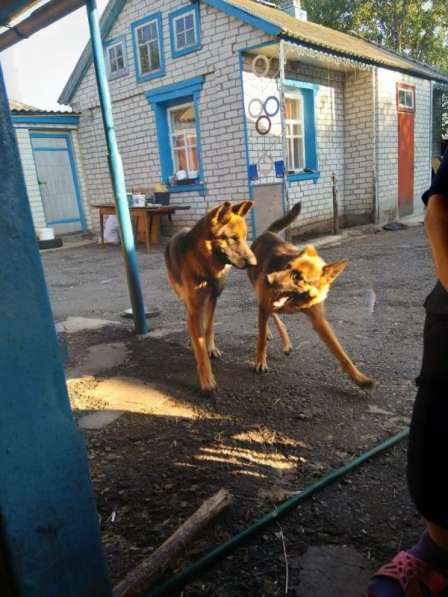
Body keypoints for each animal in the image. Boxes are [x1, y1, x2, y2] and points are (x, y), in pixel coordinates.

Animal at [164, 200, 256, 394]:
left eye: (245, 237)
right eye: (233, 238)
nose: (254, 263)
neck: (204, 264)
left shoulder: (213, 299)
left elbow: (210, 326)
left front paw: (210, 347)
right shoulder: (195, 307)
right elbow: (200, 348)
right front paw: (207, 381)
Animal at [248, 203, 374, 388]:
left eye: (298, 277)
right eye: (286, 266)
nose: (268, 279)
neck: (298, 302)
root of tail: (268, 233)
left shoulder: (320, 322)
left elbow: (341, 354)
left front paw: (359, 378)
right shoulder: (266, 302)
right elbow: (261, 340)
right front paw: (260, 361)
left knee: (273, 316)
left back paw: (285, 341)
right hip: (260, 294)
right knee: (268, 316)